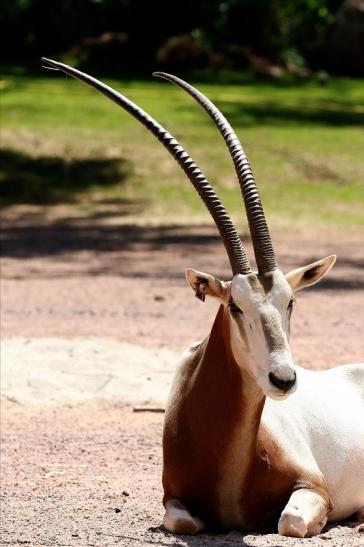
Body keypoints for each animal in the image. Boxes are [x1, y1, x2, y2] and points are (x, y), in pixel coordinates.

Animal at [43, 57, 364, 536]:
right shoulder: (172, 498)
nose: (284, 380)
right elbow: (184, 522)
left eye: (290, 302)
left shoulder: (314, 488)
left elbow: (288, 522)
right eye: (234, 306)